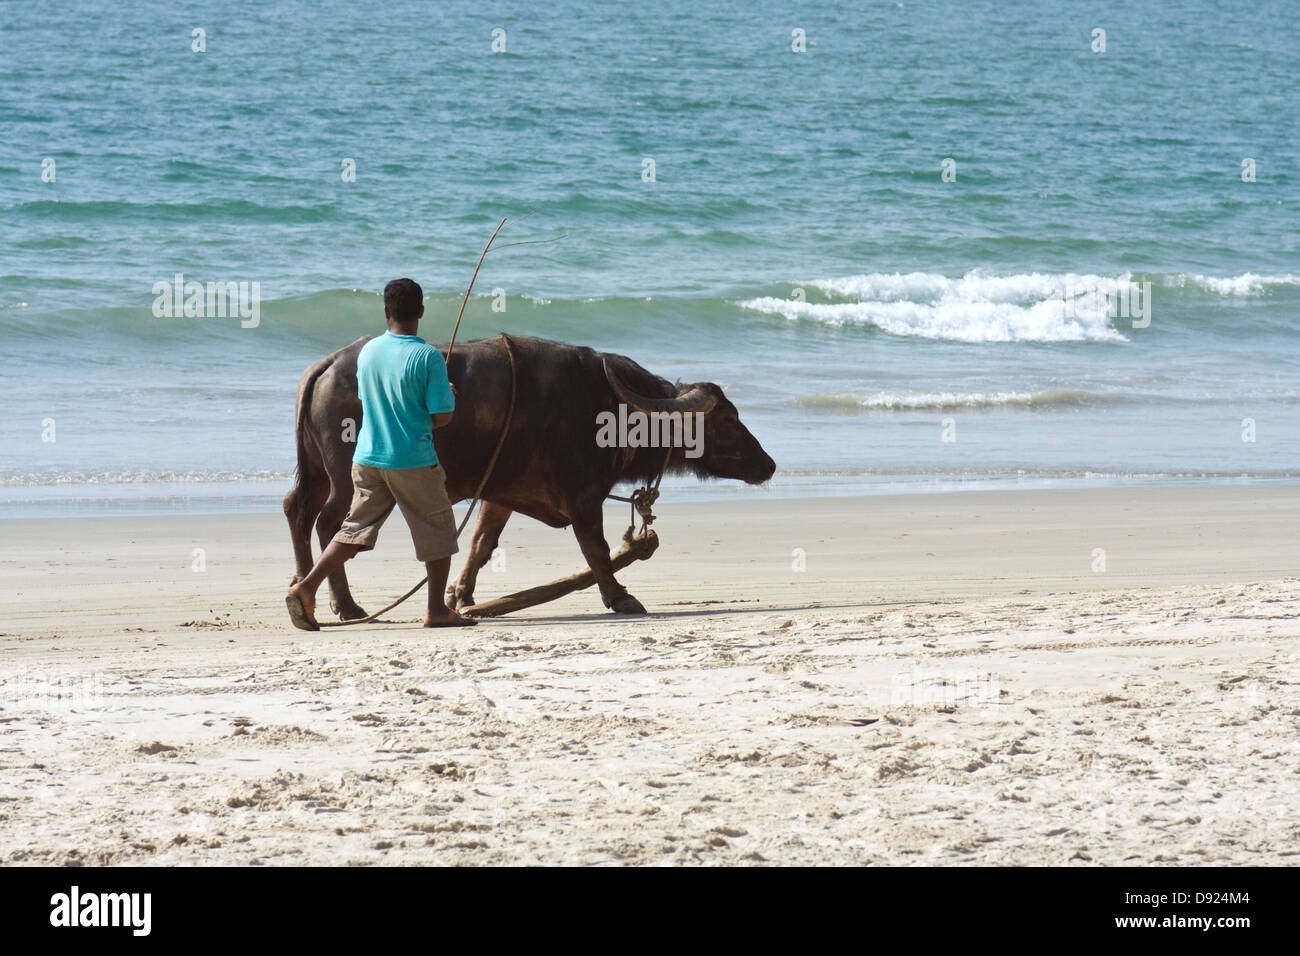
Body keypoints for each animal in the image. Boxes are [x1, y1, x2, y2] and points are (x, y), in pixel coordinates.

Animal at [284, 335, 769, 621]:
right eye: (727, 419)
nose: (768, 465)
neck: (611, 407)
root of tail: (326, 366)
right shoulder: (583, 496)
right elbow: (596, 549)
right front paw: (619, 597)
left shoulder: (499, 495)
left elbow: (480, 545)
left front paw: (461, 597)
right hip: (348, 480)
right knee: (331, 524)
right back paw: (344, 605)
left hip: (320, 474)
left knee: (298, 511)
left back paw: (303, 592)